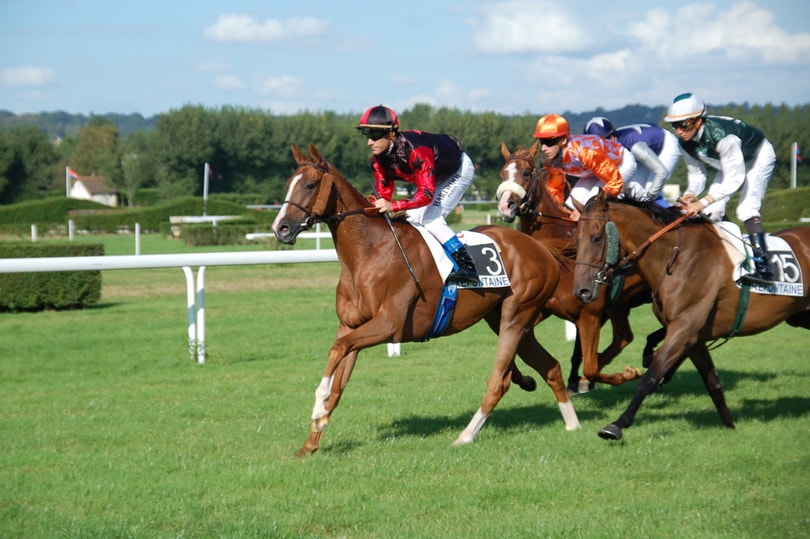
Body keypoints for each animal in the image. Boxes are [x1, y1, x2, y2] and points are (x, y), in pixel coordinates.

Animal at [272, 143, 581, 457]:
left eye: (310, 185)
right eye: (289, 184)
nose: (280, 228)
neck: (369, 251)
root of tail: (540, 247)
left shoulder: (390, 325)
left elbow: (337, 350)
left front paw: (317, 409)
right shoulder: (350, 326)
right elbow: (339, 375)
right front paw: (311, 440)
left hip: (516, 316)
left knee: (500, 381)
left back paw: (465, 436)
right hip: (507, 320)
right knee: (551, 367)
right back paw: (572, 424)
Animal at [496, 140, 648, 393]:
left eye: (526, 173)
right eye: (501, 174)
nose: (505, 206)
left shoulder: (590, 314)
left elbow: (589, 362)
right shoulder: (542, 309)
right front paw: (524, 380)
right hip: (619, 306)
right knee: (624, 337)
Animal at [572, 190, 810, 440]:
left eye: (597, 238)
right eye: (575, 238)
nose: (581, 291)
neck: (677, 258)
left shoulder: (684, 328)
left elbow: (650, 377)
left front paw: (617, 425)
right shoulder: (695, 337)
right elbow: (713, 383)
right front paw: (730, 428)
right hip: (800, 316)